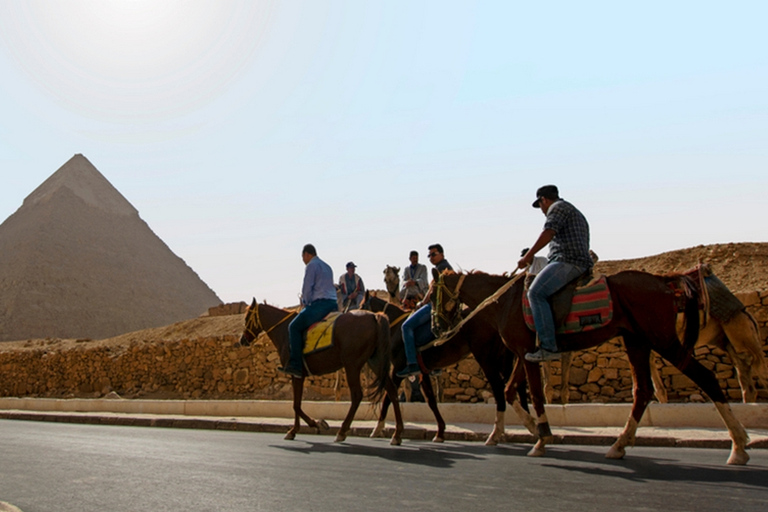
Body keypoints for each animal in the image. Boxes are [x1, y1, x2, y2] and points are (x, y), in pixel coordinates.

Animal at [237, 298, 404, 446]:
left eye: (246, 318)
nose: (242, 340)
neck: (284, 330)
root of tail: (374, 317)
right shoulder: (298, 375)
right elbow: (296, 403)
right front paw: (295, 430)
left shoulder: (296, 373)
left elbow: (296, 405)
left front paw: (315, 424)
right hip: (375, 362)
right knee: (391, 390)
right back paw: (397, 434)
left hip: (352, 365)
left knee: (357, 395)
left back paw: (342, 431)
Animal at [362, 292, 536, 444]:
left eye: (361, 305)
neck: (396, 328)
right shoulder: (423, 372)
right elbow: (431, 400)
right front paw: (440, 432)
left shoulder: (398, 369)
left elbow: (388, 397)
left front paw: (382, 429)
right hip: (501, 359)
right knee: (516, 386)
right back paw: (529, 424)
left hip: (486, 358)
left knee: (500, 388)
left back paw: (500, 432)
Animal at [432, 270, 752, 466]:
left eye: (434, 293)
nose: (435, 326)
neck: (504, 302)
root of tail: (663, 282)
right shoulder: (526, 355)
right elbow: (511, 392)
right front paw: (530, 430)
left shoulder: (526, 352)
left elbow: (533, 394)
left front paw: (541, 438)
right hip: (637, 341)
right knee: (643, 390)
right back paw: (619, 445)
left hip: (662, 339)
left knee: (706, 377)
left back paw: (738, 446)